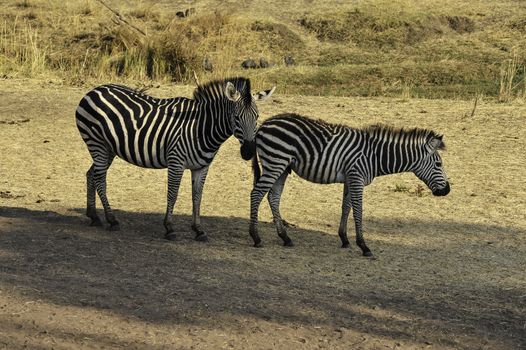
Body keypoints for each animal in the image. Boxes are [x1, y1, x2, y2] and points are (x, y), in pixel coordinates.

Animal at [77, 76, 278, 241]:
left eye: (257, 117)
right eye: (236, 117)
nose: (248, 152)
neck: (201, 127)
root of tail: (95, 89)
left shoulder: (201, 167)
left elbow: (197, 196)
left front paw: (198, 230)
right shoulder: (176, 162)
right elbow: (172, 194)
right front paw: (169, 228)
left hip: (108, 148)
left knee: (91, 174)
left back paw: (93, 216)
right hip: (96, 142)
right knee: (100, 178)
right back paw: (111, 219)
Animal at [250, 113, 452, 256]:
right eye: (438, 164)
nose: (447, 190)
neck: (375, 156)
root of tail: (264, 124)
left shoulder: (349, 178)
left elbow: (346, 207)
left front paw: (344, 239)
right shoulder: (356, 177)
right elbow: (358, 210)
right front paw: (363, 246)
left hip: (283, 166)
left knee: (273, 196)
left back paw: (285, 237)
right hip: (276, 162)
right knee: (257, 193)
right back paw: (256, 237)